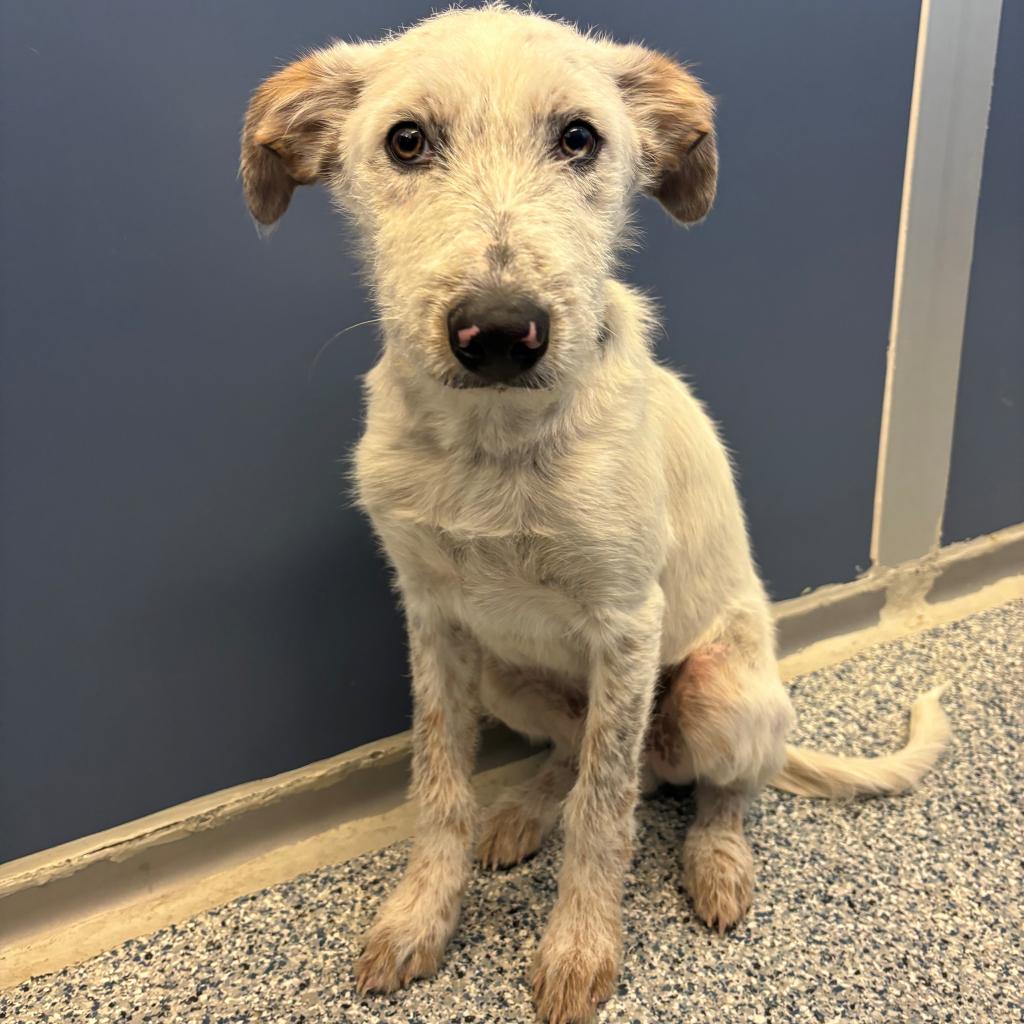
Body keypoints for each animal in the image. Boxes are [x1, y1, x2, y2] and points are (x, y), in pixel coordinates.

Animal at [239, 9, 950, 1024]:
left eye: (579, 138)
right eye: (406, 141)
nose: (501, 331)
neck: (494, 444)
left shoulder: (626, 624)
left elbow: (606, 813)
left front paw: (579, 947)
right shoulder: (433, 619)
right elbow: (441, 786)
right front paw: (420, 918)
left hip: (717, 695)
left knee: (699, 785)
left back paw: (716, 859)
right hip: (506, 677)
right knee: (579, 754)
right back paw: (524, 808)